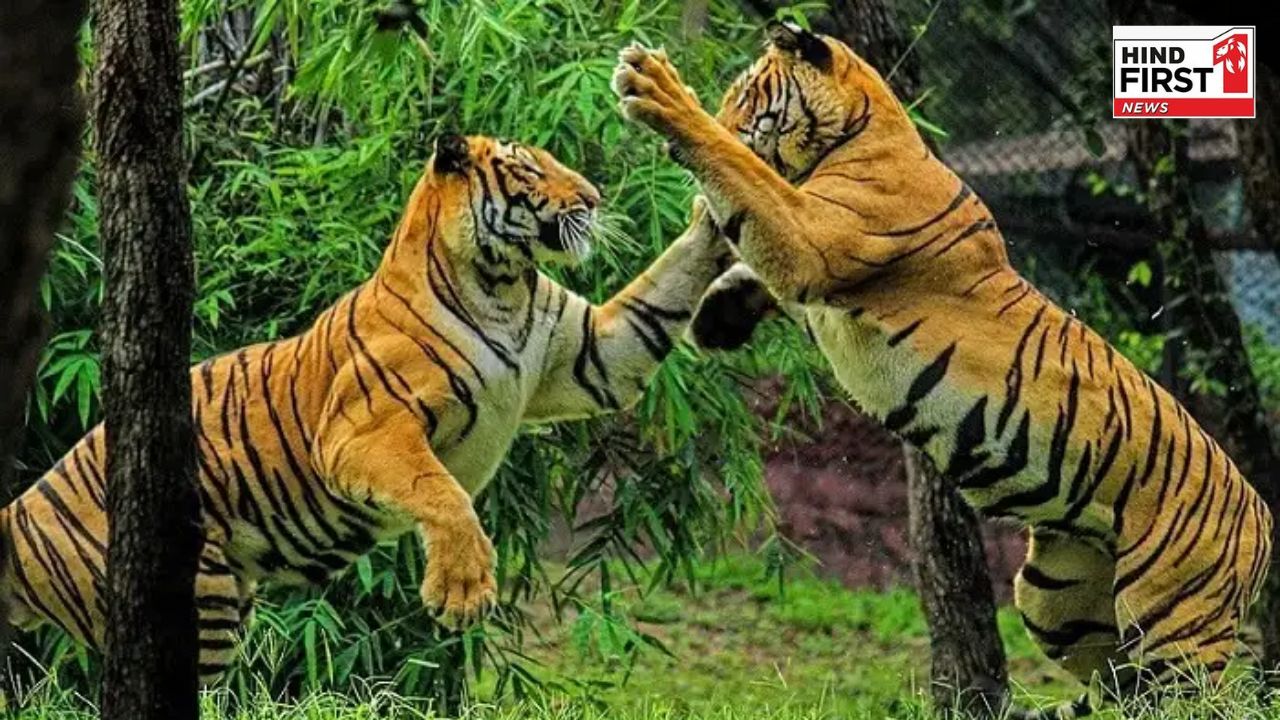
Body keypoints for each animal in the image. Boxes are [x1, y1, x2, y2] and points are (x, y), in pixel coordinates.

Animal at [0, 134, 732, 685]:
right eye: (530, 168)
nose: (594, 198)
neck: (502, 285)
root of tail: (21, 509)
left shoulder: (591, 356)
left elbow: (662, 291)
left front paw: (715, 213)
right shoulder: (365, 430)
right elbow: (440, 491)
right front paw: (461, 592)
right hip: (193, 608)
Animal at [609, 21, 1273, 718]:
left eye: (744, 97)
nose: (724, 114)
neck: (864, 130)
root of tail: (1263, 520)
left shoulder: (812, 237)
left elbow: (745, 179)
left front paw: (658, 91)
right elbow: (752, 257)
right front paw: (719, 317)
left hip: (1174, 625)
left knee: (1204, 697)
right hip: (1054, 599)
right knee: (1120, 683)